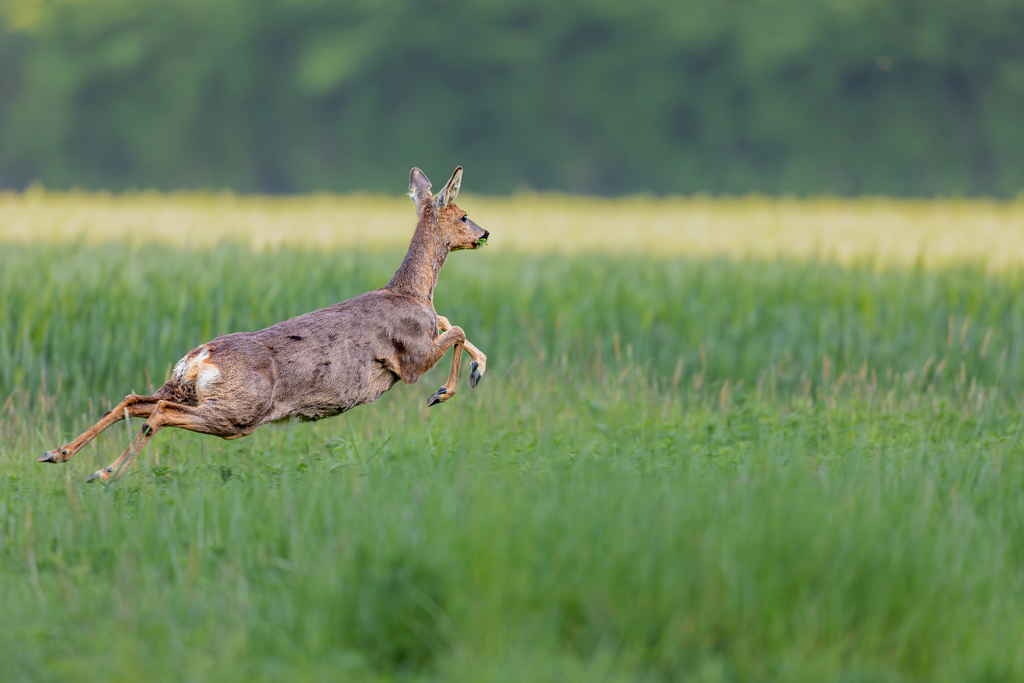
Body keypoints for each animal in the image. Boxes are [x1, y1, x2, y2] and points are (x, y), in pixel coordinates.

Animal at [38, 167, 487, 483]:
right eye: (465, 215)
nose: (485, 232)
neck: (413, 292)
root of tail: (198, 359)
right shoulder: (411, 358)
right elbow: (456, 330)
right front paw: (446, 390)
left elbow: (451, 322)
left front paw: (475, 370)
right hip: (240, 412)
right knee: (159, 414)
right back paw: (104, 473)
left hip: (191, 392)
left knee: (133, 401)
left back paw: (58, 454)